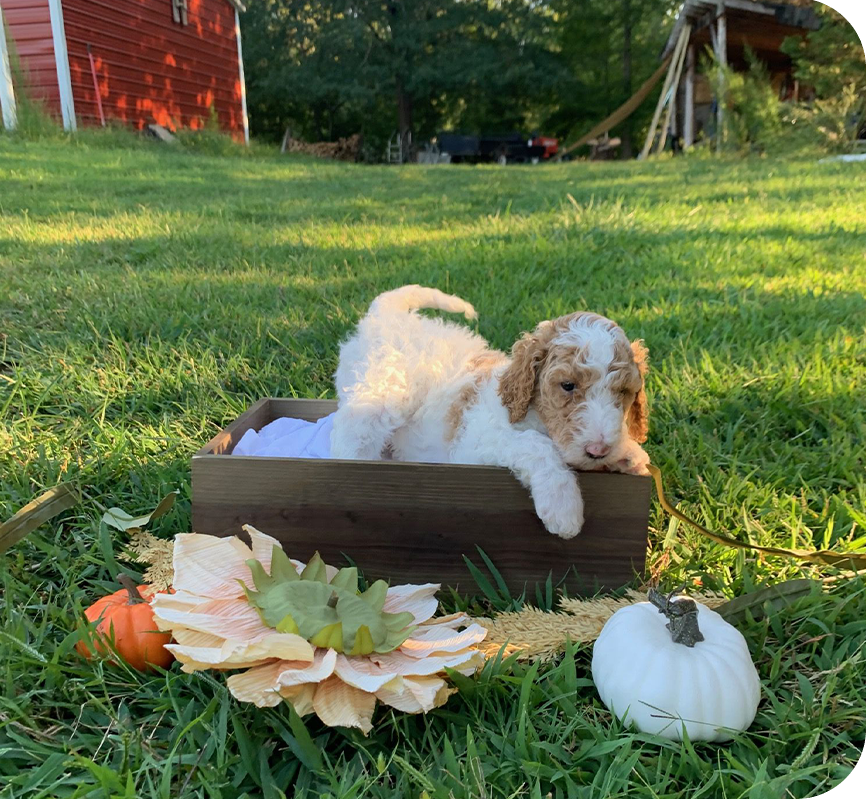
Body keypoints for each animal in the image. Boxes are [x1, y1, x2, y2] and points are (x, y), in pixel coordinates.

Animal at [332, 282, 652, 536]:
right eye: (568, 385)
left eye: (623, 392)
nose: (599, 450)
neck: (531, 414)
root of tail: (386, 316)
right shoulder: (475, 446)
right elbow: (535, 445)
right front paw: (563, 507)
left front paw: (629, 455)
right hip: (374, 400)